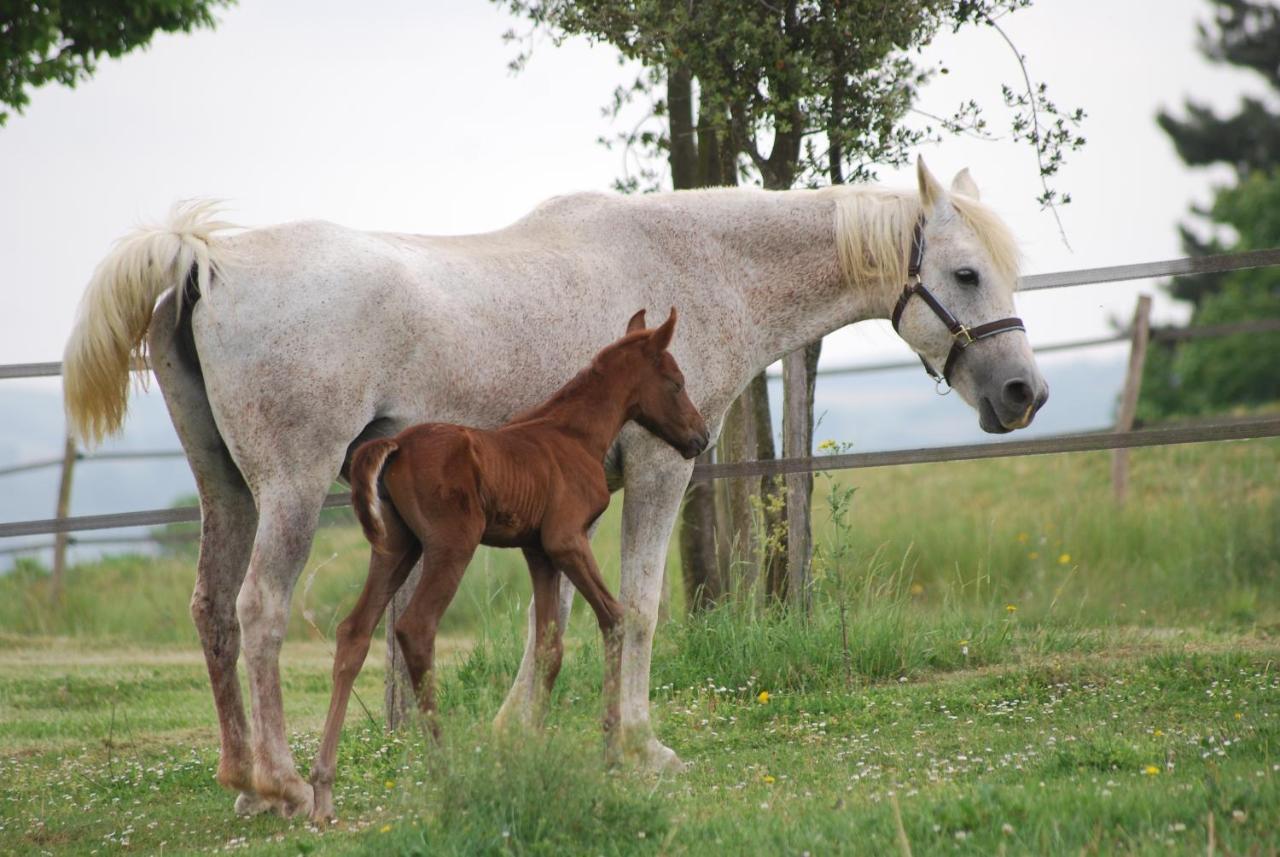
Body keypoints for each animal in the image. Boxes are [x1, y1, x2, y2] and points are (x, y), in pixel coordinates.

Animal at [309, 310, 711, 823]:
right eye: (677, 383)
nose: (701, 437)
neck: (576, 436)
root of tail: (396, 444)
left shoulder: (539, 552)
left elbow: (549, 646)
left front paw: (533, 745)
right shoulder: (567, 541)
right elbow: (615, 618)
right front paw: (612, 752)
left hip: (396, 548)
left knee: (354, 633)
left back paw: (322, 789)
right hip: (450, 545)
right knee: (415, 629)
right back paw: (444, 769)